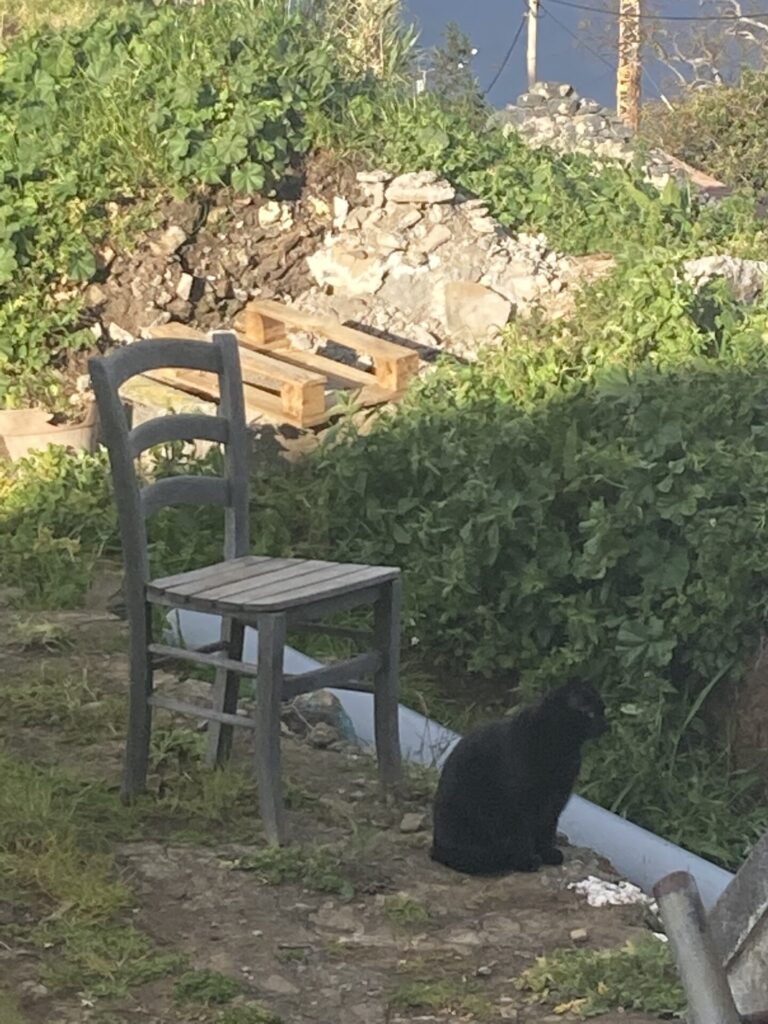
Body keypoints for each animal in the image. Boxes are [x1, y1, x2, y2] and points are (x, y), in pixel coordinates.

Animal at [430, 679, 607, 875]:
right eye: (590, 714)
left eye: (603, 710)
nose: (606, 725)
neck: (562, 747)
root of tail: (436, 846)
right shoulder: (520, 806)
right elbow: (522, 836)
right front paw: (527, 860)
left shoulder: (555, 801)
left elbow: (547, 830)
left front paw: (548, 853)